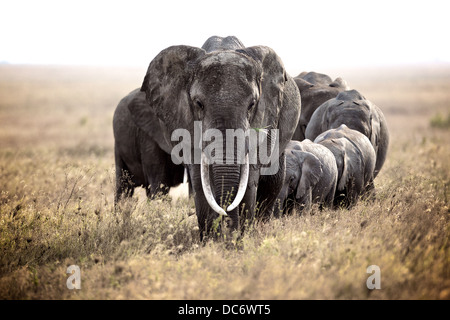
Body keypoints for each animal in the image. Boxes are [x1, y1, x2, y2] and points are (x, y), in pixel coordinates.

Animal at [128, 36, 300, 239]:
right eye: (198, 104)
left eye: (252, 104)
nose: (227, 228)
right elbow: (199, 180)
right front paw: (211, 240)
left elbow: (249, 180)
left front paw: (239, 240)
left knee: (273, 181)